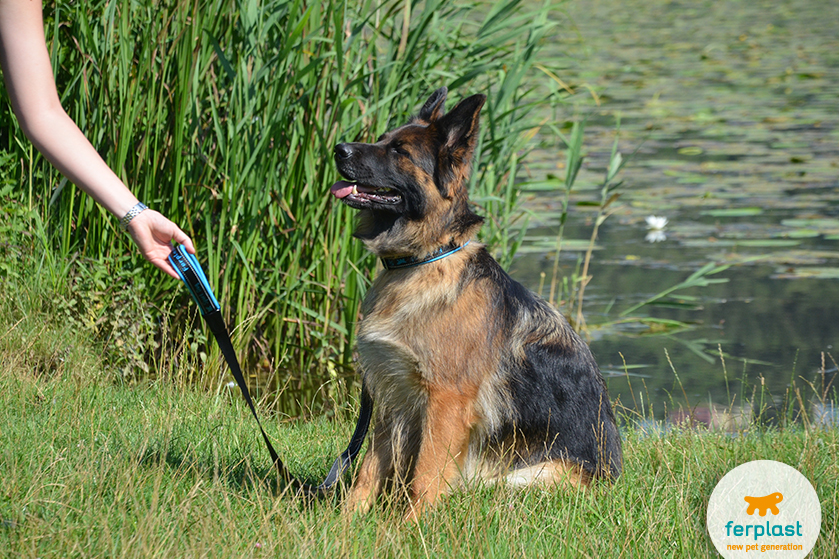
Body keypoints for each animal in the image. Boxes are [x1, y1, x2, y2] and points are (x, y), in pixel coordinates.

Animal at [332, 87, 620, 520]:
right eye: (381, 139)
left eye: (399, 151)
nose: (338, 149)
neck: (424, 258)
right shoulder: (392, 394)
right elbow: (369, 468)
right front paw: (347, 521)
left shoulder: (446, 400)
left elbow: (426, 473)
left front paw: (411, 525)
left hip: (530, 476)